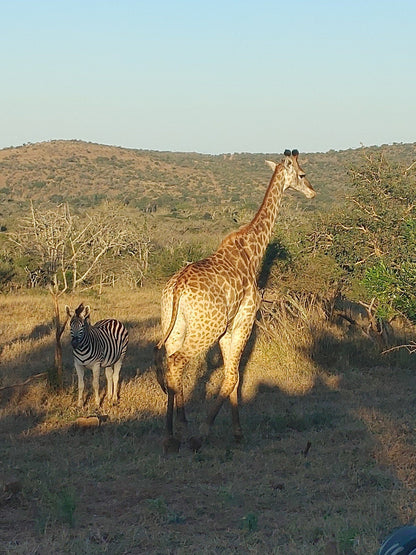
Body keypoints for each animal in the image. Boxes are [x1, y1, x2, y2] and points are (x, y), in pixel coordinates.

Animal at [154, 148, 316, 444]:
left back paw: (172, 431)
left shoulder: (227, 331)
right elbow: (232, 377)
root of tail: (178, 286)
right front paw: (208, 430)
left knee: (169, 361)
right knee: (178, 361)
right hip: (204, 329)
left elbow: (234, 377)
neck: (253, 251)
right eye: (302, 174)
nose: (312, 192)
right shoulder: (243, 321)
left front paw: (237, 430)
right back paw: (184, 429)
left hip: (174, 324)